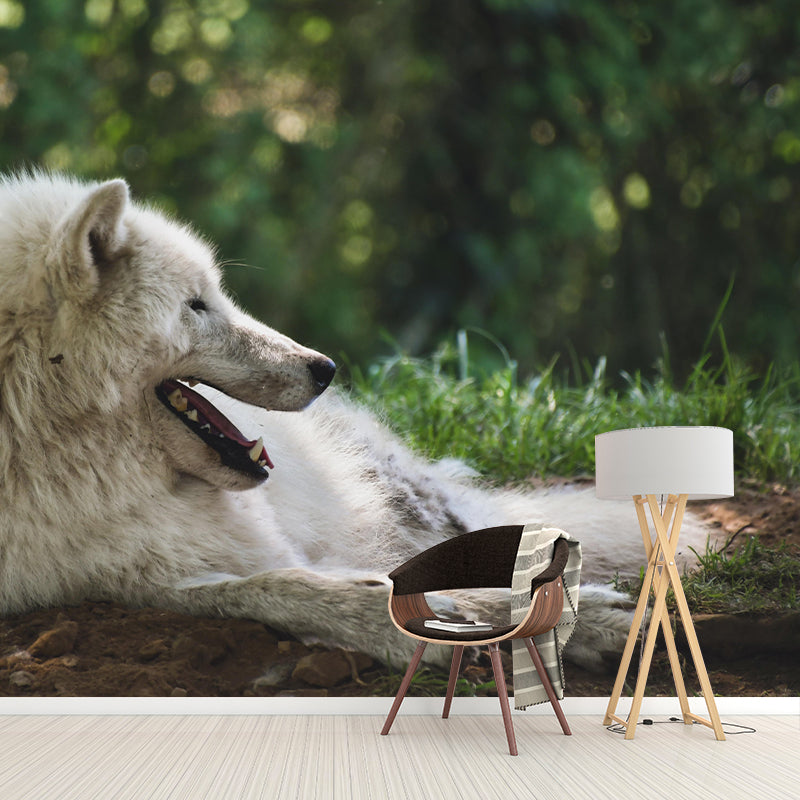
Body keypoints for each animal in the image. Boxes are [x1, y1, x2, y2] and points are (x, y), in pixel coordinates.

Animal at [0, 173, 716, 674]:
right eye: (196, 306)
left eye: (215, 296)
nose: (325, 367)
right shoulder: (123, 580)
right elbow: (271, 588)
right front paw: (387, 623)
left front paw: (579, 619)